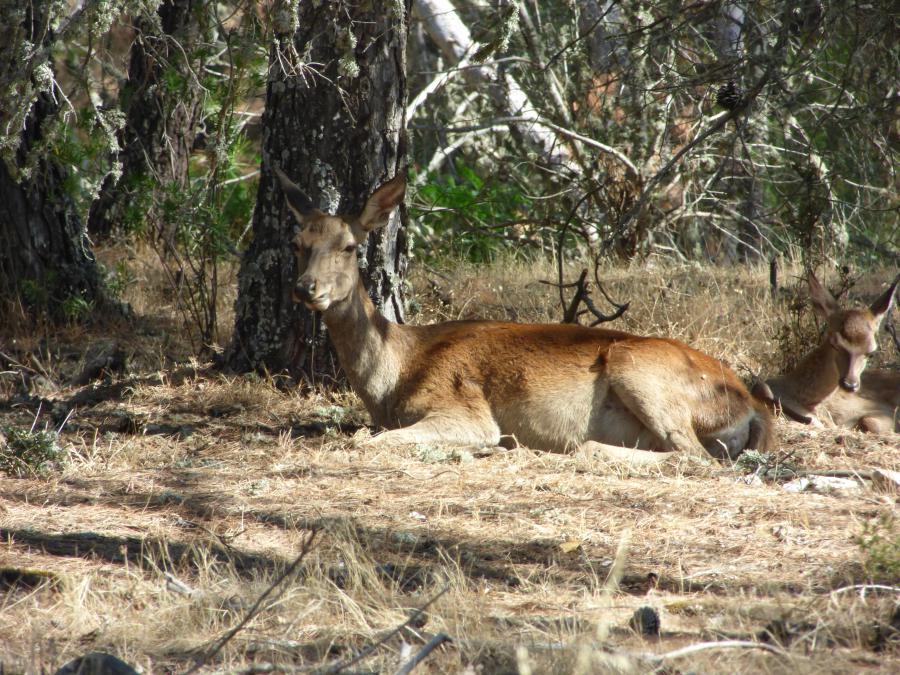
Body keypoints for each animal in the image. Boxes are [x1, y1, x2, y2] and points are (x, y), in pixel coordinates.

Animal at [275, 168, 773, 464]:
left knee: (694, 456)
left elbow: (369, 439)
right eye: (297, 244)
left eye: (349, 246)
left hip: (641, 370)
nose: (305, 288)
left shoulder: (465, 408)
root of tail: (750, 407)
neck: (396, 376)